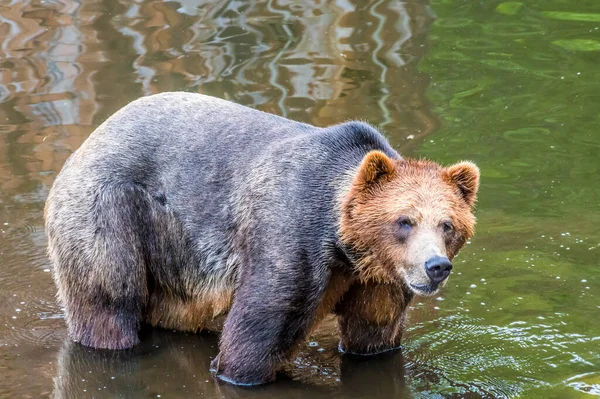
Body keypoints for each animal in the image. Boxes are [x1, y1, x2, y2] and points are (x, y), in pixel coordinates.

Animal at [44, 92, 480, 386]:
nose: (436, 266)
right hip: (111, 214)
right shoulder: (290, 238)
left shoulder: (379, 280)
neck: (346, 247)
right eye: (405, 221)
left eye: (447, 225)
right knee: (108, 301)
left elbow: (373, 340)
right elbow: (251, 344)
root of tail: (89, 140)